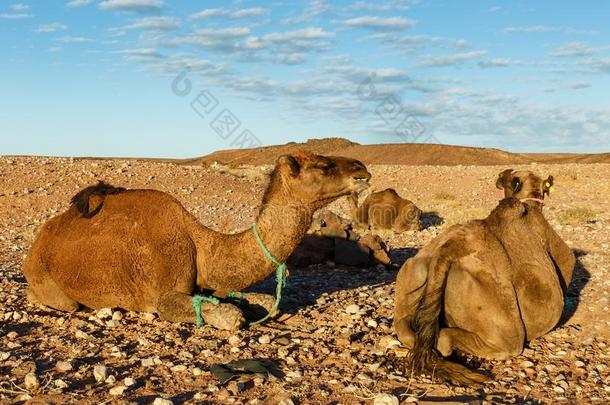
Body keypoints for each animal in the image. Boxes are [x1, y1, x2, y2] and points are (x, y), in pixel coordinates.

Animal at [23, 151, 370, 328]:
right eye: (324, 165)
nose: (363, 169)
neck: (202, 245)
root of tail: (36, 244)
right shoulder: (163, 295)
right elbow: (231, 316)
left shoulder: (209, 284)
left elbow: (263, 302)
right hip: (48, 283)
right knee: (58, 301)